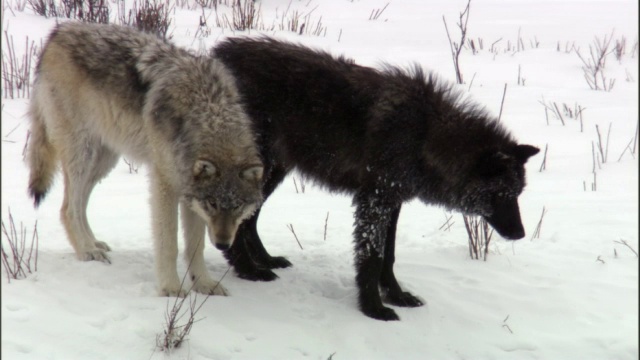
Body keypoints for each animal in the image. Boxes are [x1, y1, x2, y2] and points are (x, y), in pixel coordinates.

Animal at [27, 23, 262, 298]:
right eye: (213, 203)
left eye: (237, 206)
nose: (223, 243)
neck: (206, 111)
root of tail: (59, 31)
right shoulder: (165, 185)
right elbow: (169, 244)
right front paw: (170, 288)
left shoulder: (190, 194)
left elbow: (196, 247)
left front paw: (204, 284)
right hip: (82, 154)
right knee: (68, 208)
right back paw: (87, 250)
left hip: (104, 161)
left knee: (80, 204)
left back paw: (93, 243)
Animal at [212, 37, 536, 320]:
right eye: (501, 194)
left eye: (517, 193)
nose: (521, 234)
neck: (425, 135)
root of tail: (215, 53)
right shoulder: (374, 200)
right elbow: (372, 257)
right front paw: (373, 308)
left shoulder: (393, 201)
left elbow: (388, 256)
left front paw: (397, 296)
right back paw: (248, 270)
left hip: (274, 172)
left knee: (250, 220)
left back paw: (265, 260)